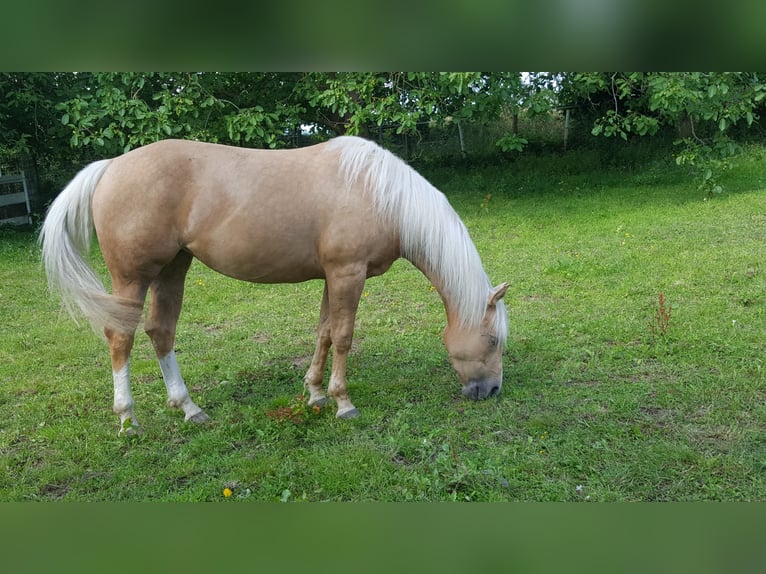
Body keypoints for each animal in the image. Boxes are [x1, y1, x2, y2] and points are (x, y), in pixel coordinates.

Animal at [42, 138, 510, 436]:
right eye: (491, 340)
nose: (491, 391)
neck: (379, 194)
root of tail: (110, 166)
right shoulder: (348, 273)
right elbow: (343, 336)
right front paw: (343, 403)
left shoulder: (332, 276)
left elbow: (323, 332)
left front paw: (316, 394)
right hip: (133, 278)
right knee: (120, 337)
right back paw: (128, 420)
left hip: (173, 268)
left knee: (161, 331)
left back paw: (189, 408)